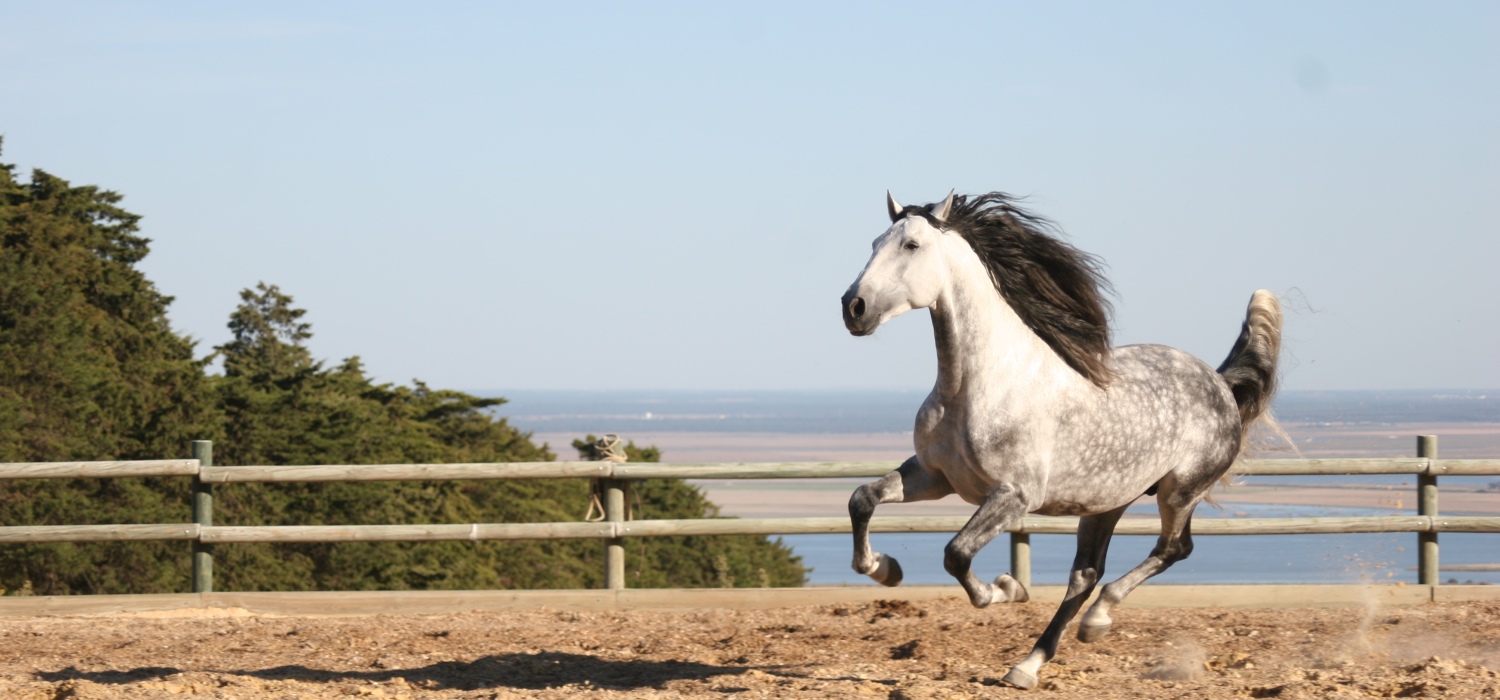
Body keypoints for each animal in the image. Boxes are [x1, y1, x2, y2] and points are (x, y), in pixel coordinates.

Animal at [840, 193, 1284, 689]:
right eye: (875, 242)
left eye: (912, 245)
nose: (854, 307)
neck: (977, 385)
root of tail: (1221, 383)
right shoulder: (935, 477)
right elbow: (863, 499)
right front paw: (885, 569)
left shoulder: (1014, 495)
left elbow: (956, 554)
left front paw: (1005, 589)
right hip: (1107, 501)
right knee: (1086, 574)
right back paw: (1029, 664)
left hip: (1180, 491)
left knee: (1172, 549)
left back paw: (1097, 621)